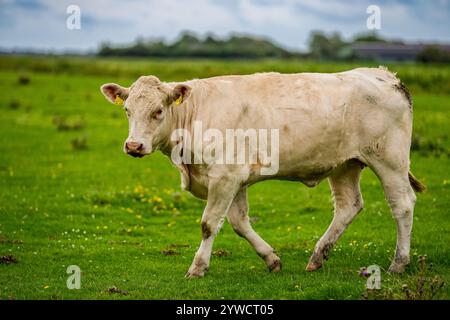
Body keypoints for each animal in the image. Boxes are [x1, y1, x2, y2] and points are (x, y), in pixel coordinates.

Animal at [100, 67, 424, 278]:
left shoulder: (225, 176)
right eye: (127, 110)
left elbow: (209, 224)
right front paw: (271, 259)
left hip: (389, 160)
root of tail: (385, 75)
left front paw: (197, 268)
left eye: (158, 111)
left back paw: (399, 263)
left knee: (402, 205)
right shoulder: (235, 179)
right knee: (349, 206)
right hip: (345, 164)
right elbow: (239, 223)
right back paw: (318, 257)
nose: (133, 145)